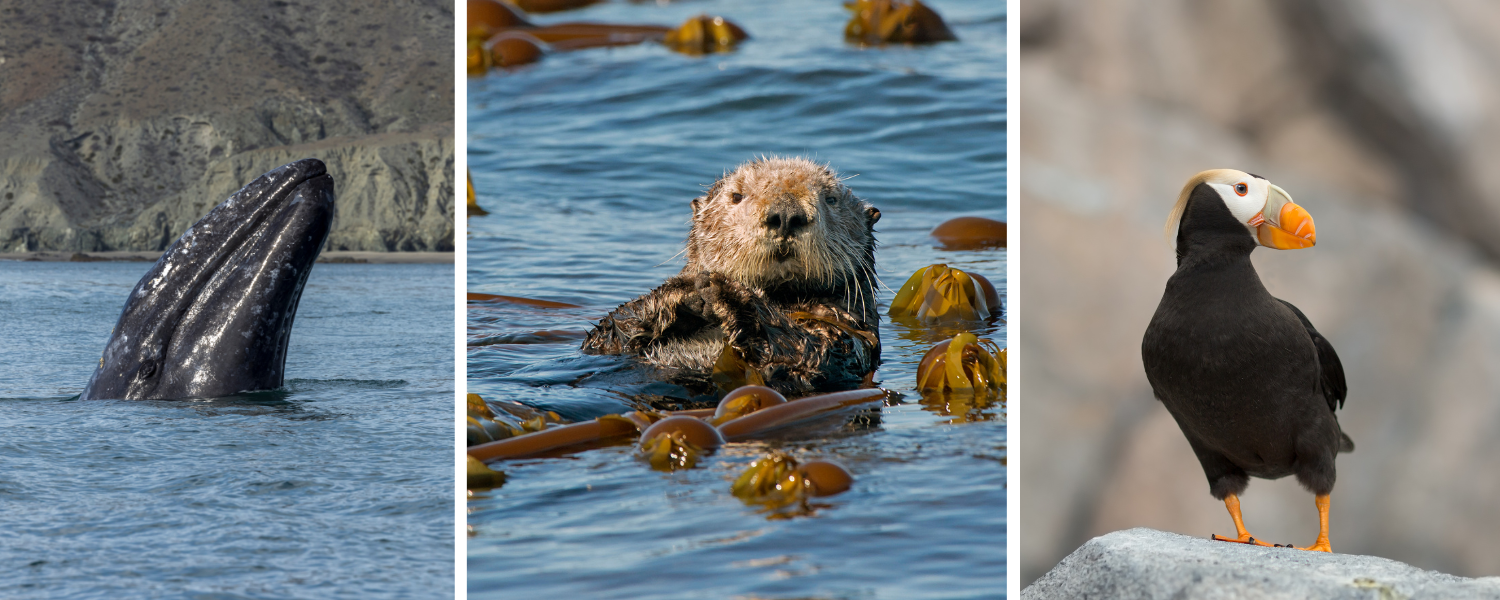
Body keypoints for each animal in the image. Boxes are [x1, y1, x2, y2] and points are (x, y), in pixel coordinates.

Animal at [582, 156, 882, 399]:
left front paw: (723, 289)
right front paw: (683, 290)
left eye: (831, 199)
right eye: (737, 196)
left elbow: (807, 353)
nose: (786, 214)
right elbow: (607, 334)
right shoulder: (609, 346)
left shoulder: (845, 334)